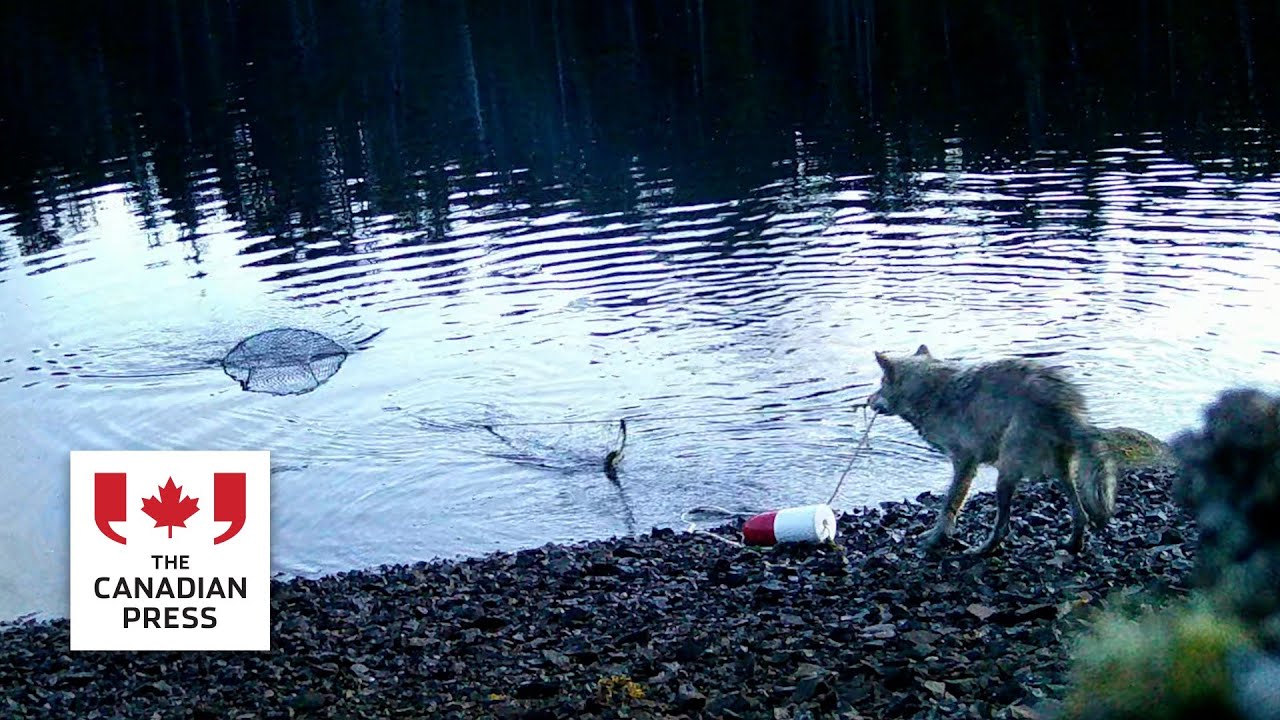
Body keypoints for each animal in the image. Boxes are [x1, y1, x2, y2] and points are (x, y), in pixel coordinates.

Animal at [867, 345, 1117, 555]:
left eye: (881, 382)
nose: (868, 400)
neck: (930, 392)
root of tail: (1064, 404)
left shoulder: (964, 462)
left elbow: (949, 504)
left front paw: (936, 539)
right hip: (1060, 472)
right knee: (1081, 515)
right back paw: (1072, 545)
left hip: (1005, 473)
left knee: (1003, 527)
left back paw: (981, 551)